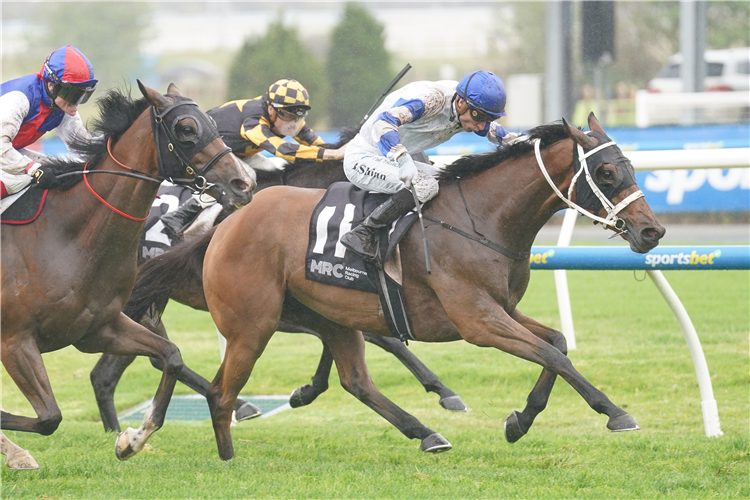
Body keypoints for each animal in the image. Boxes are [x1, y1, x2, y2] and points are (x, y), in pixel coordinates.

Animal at [0, 81, 256, 468]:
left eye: (212, 122)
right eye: (186, 129)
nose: (243, 182)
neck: (66, 237)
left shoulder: (98, 328)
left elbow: (171, 357)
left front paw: (132, 439)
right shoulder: (15, 340)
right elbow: (49, 418)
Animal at [88, 133, 464, 434]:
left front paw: (306, 391)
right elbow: (382, 339)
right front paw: (444, 391)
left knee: (109, 371)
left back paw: (115, 429)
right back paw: (238, 407)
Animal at [134, 114, 664, 460]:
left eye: (631, 167)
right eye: (607, 172)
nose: (652, 231)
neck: (482, 219)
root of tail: (225, 225)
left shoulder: (501, 308)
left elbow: (556, 343)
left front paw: (521, 419)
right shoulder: (477, 320)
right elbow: (553, 354)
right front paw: (614, 412)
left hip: (324, 312)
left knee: (356, 381)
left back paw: (424, 432)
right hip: (253, 322)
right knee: (206, 378)